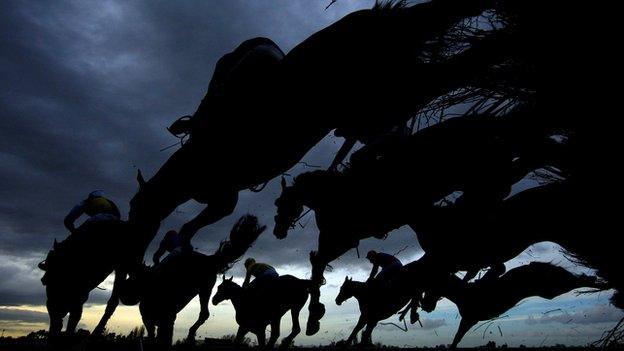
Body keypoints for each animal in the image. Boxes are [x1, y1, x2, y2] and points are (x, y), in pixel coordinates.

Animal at [122, 216, 266, 348]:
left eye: (138, 279)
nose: (125, 296)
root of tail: (209, 259)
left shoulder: (167, 321)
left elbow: (163, 340)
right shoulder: (149, 320)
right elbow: (153, 337)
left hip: (205, 288)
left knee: (204, 314)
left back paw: (190, 336)